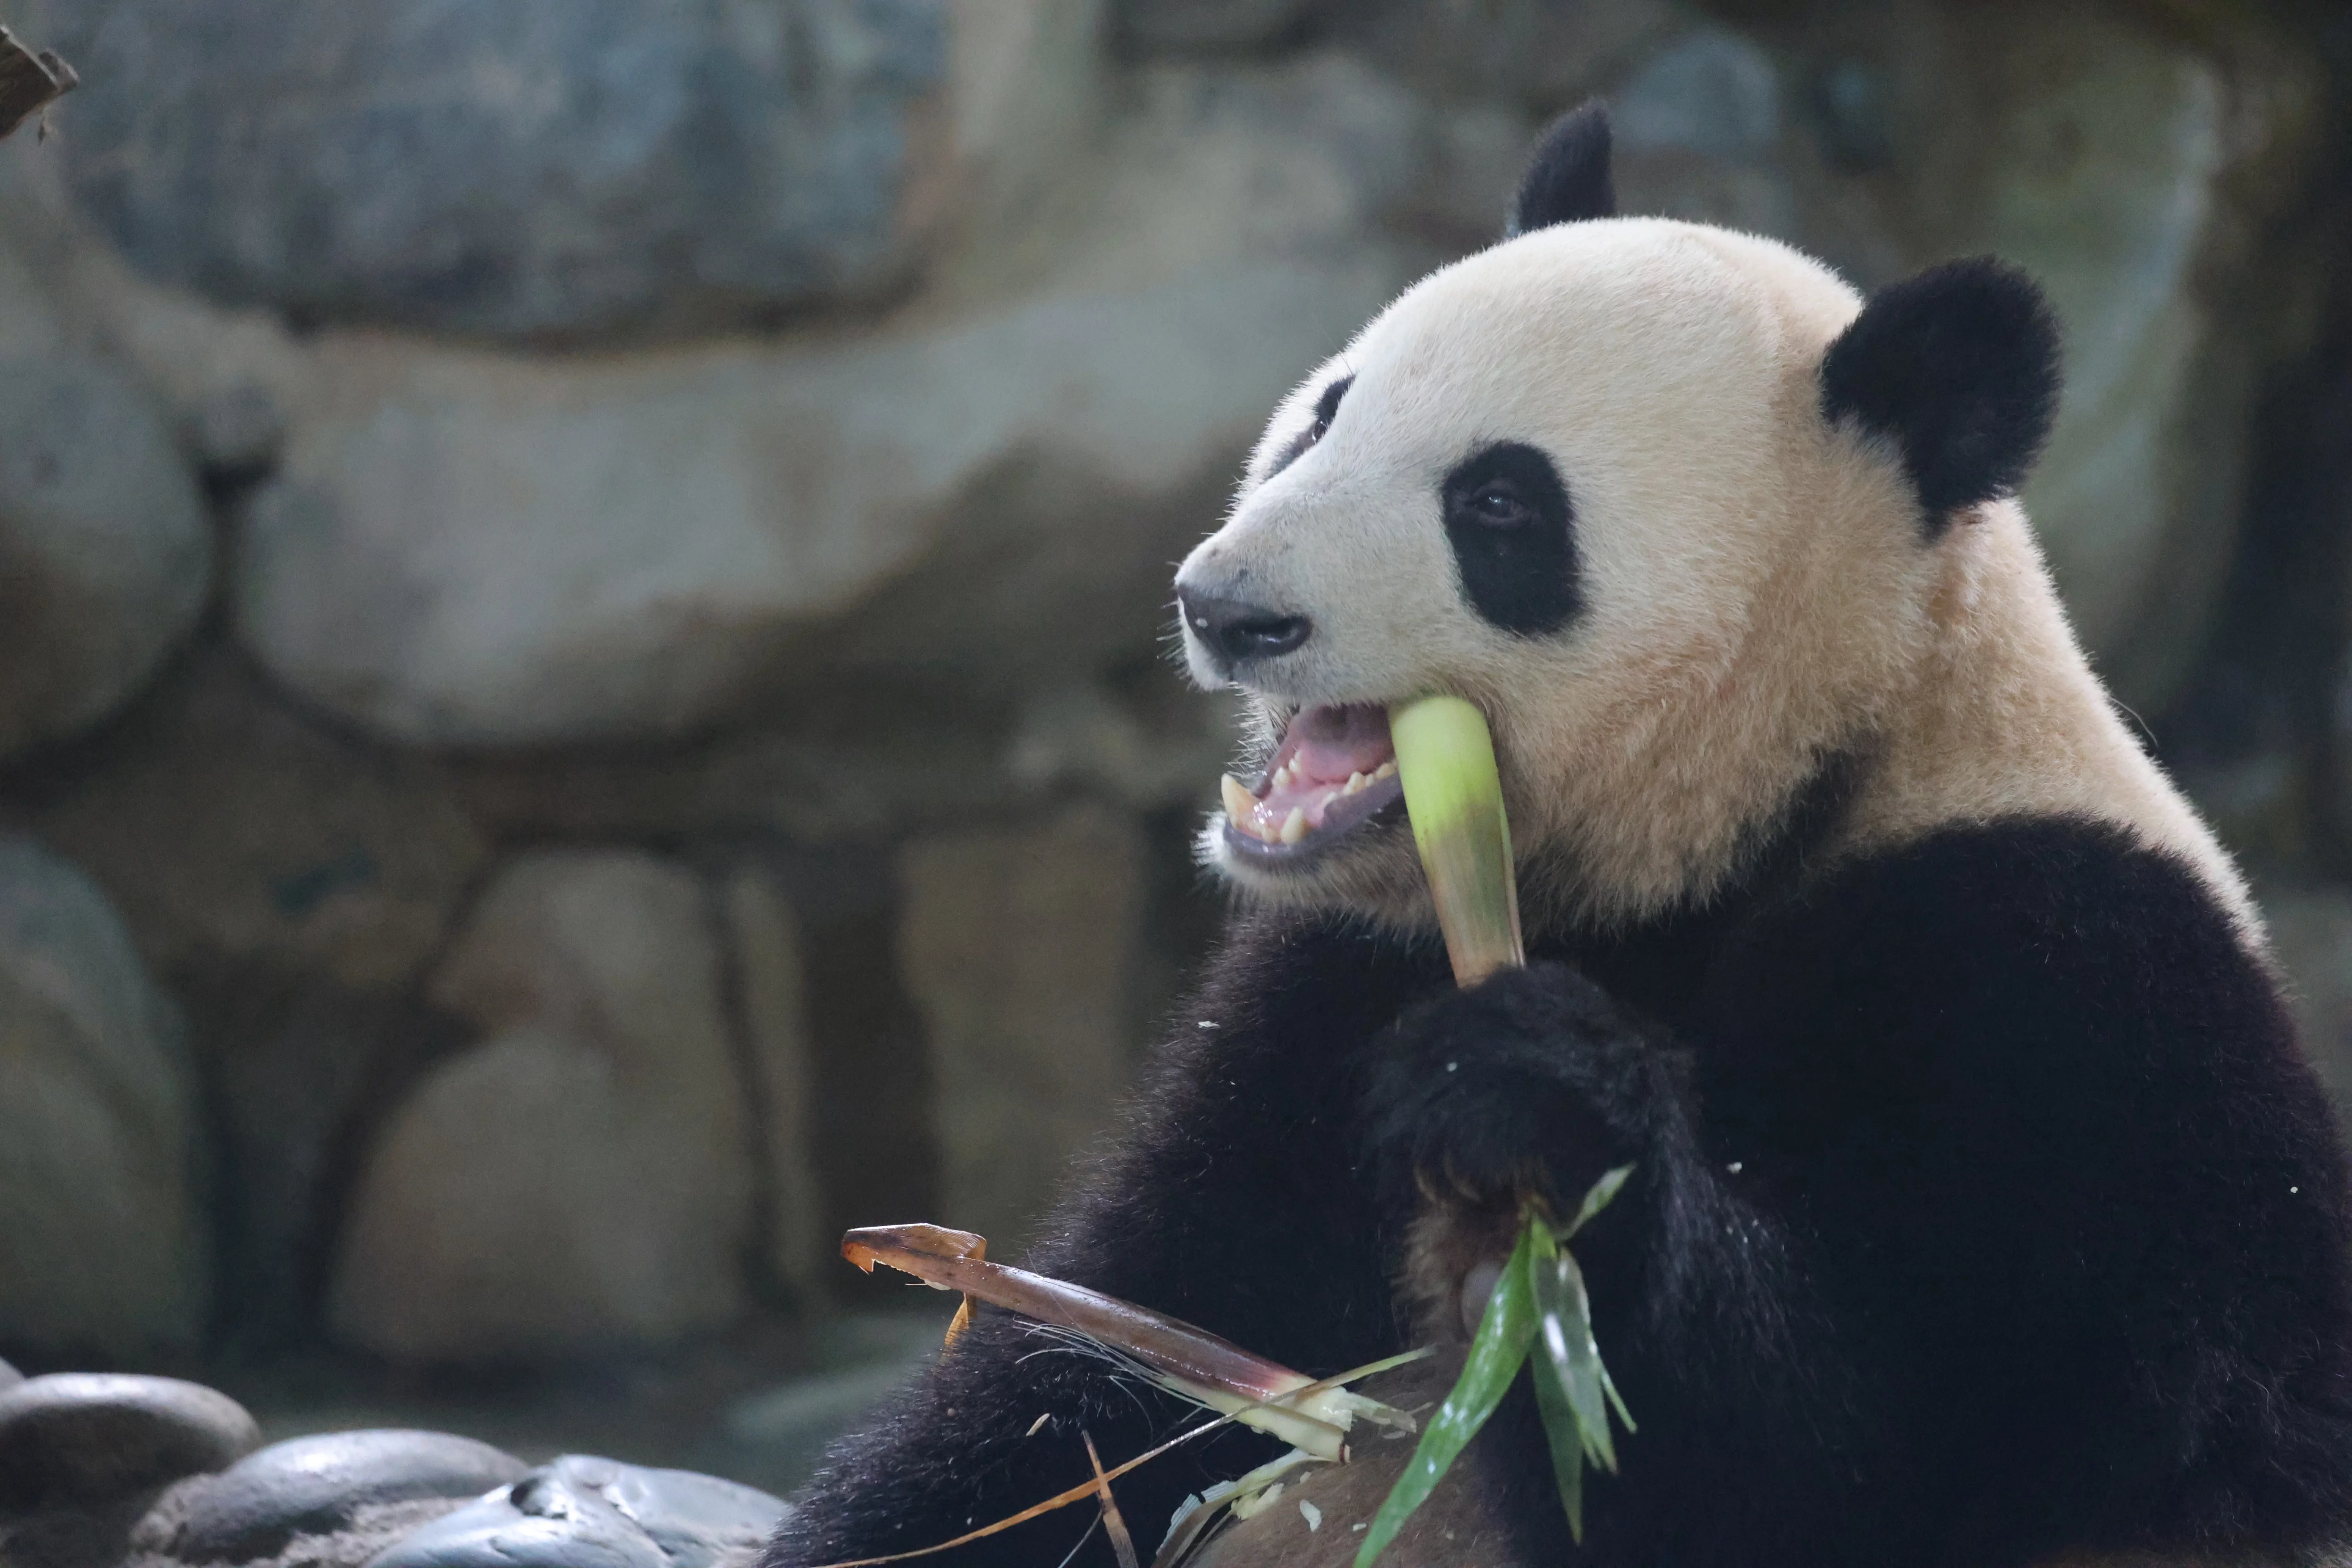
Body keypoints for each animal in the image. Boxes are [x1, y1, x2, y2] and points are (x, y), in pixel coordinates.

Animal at [762, 104, 2352, 1568]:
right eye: (1326, 412)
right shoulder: (1323, 996)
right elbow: (1123, 1348)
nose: (1226, 606)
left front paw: (1529, 1112)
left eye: (1498, 503)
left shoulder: (2054, 994)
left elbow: (1854, 1476)